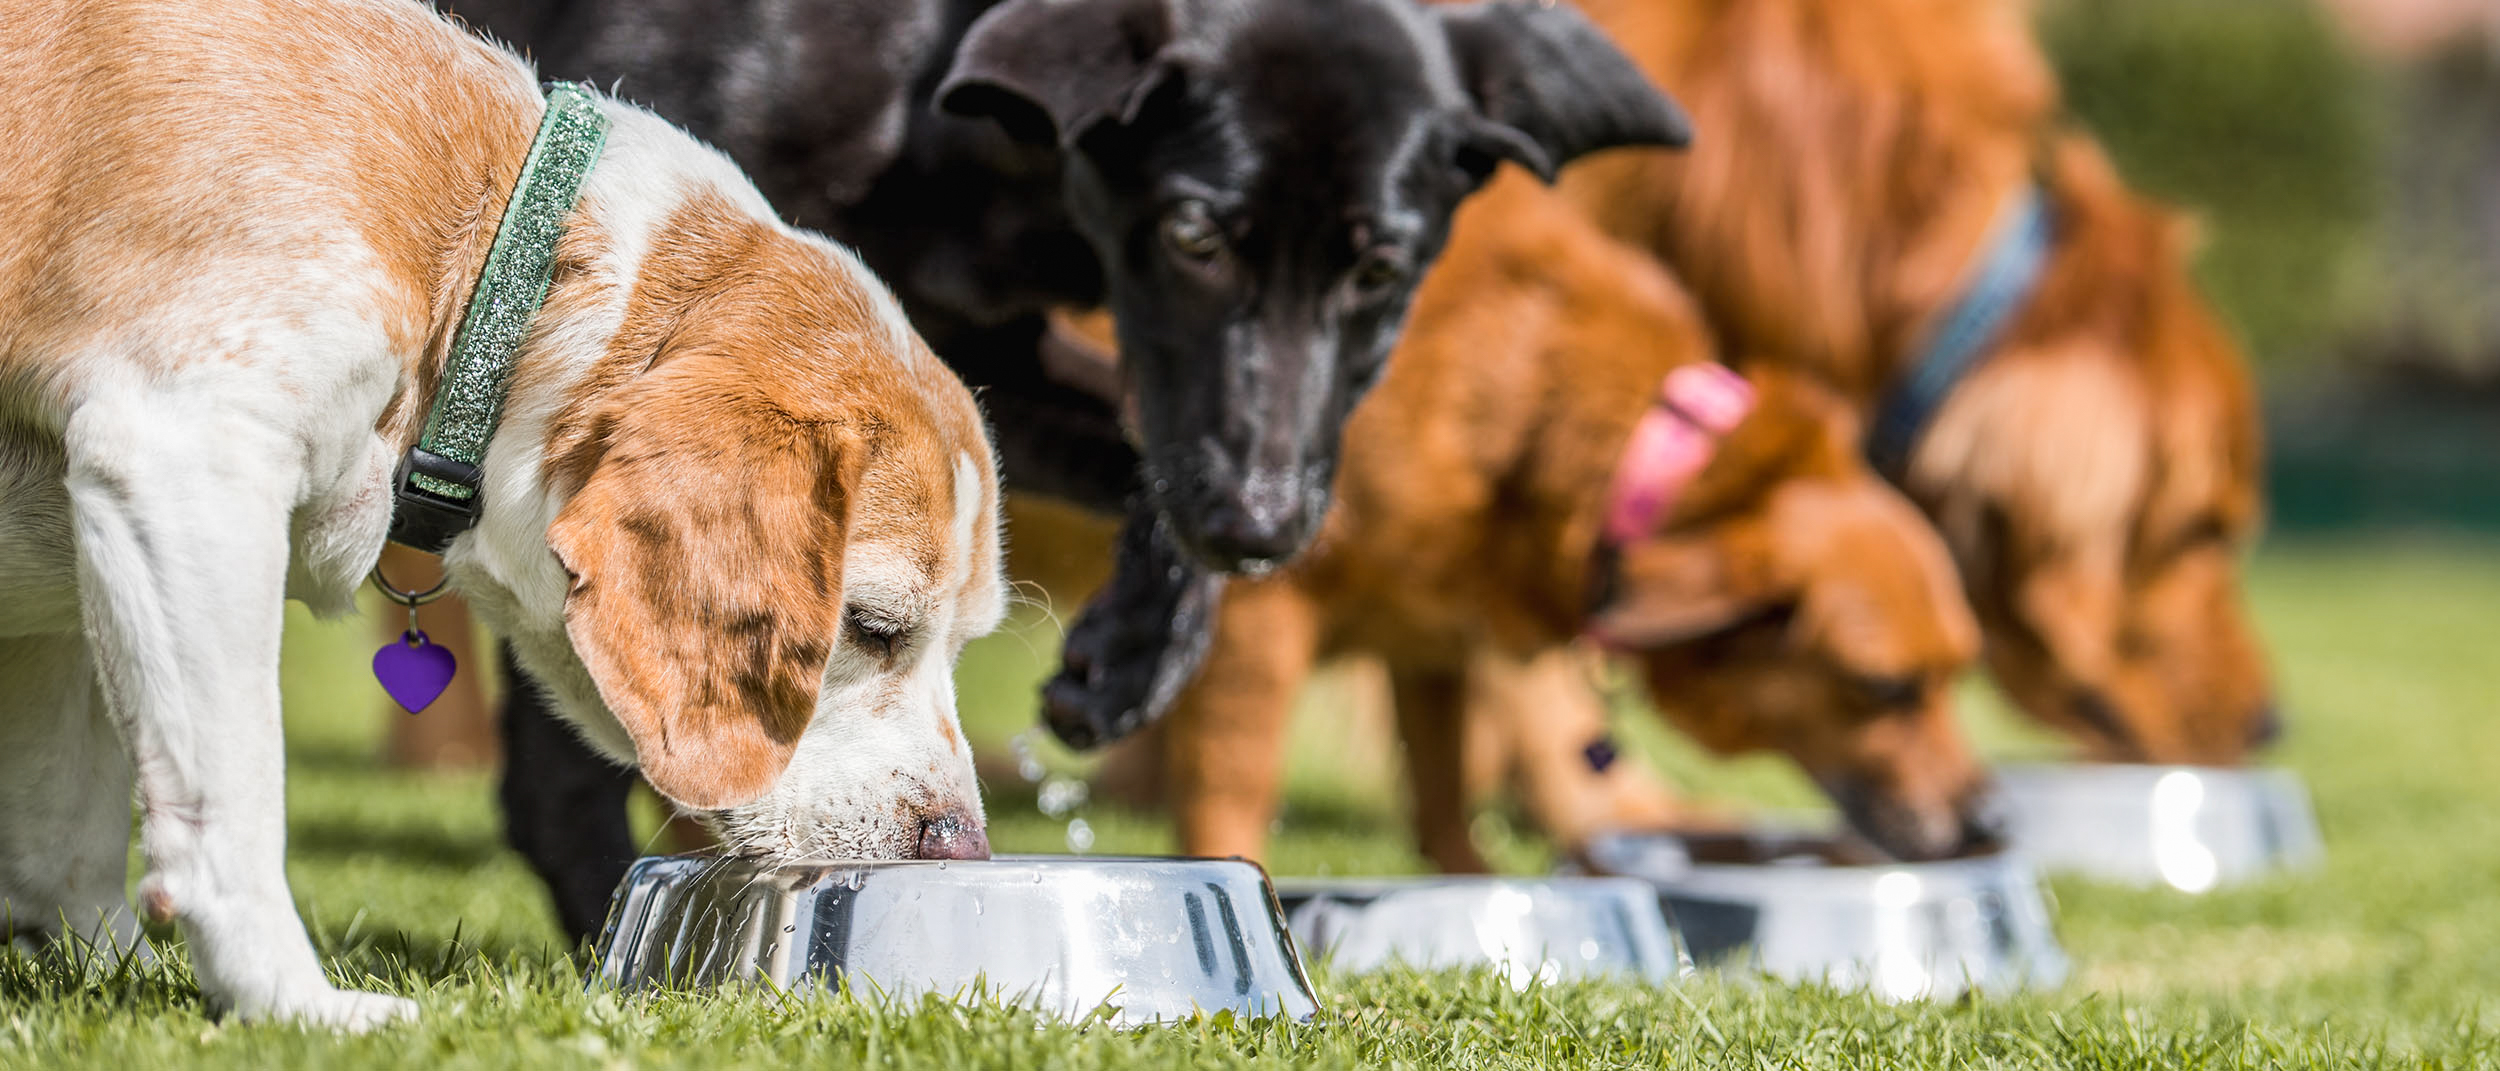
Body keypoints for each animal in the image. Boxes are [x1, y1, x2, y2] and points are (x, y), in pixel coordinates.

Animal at [0, 0, 1005, 1030]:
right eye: (872, 626)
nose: (961, 845)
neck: (497, 247)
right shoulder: (185, 458)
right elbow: (230, 803)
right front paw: (290, 1000)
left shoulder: (74, 580)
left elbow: (66, 833)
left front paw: (105, 970)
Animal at [457, 0, 1690, 940]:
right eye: (1195, 236)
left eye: (1382, 268)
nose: (1263, 524)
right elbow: (576, 738)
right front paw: (599, 910)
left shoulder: (986, 356)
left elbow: (1143, 465)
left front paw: (1133, 654)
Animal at [1150, 171, 1990, 865]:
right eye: (1886, 687)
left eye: (1957, 670)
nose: (1992, 822)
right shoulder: (1256, 614)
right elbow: (1234, 792)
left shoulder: (1427, 638)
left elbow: (1443, 794)